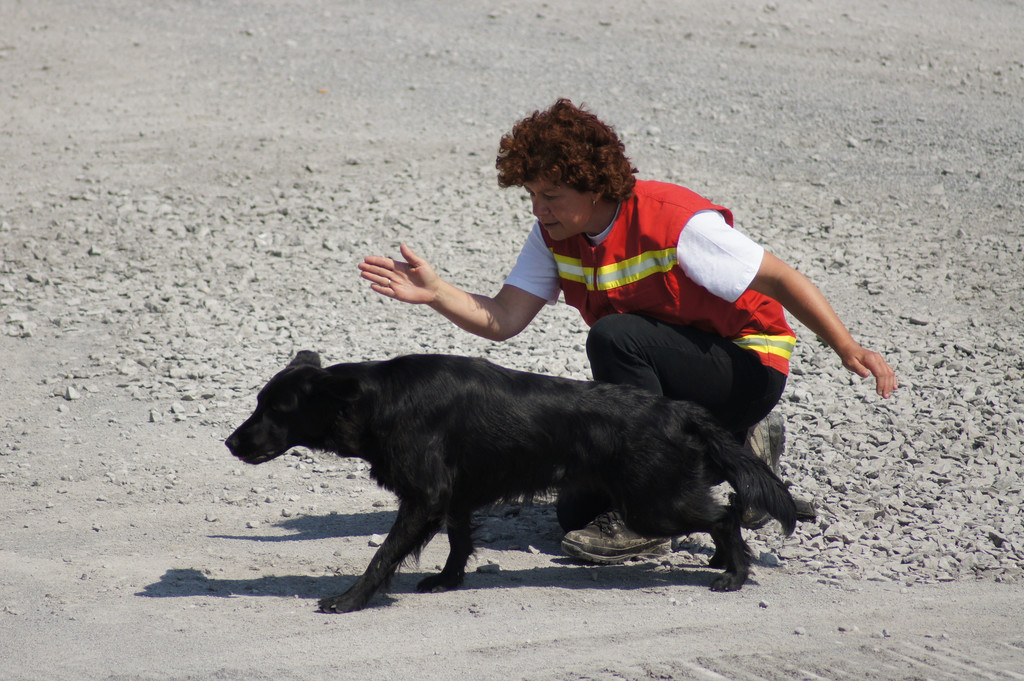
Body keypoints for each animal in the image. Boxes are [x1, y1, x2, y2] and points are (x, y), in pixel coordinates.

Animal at [225, 351, 797, 613]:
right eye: (258, 402)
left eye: (275, 409)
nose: (231, 443)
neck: (380, 401)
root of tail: (680, 411)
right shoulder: (453, 496)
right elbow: (458, 543)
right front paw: (448, 581)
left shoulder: (423, 497)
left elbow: (383, 556)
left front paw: (351, 599)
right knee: (721, 514)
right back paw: (724, 563)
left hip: (650, 503)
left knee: (724, 515)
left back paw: (734, 573)